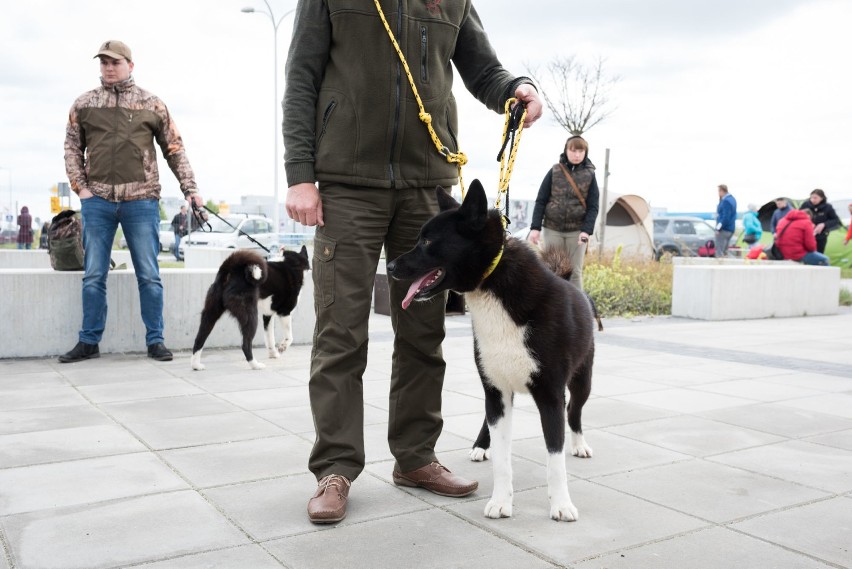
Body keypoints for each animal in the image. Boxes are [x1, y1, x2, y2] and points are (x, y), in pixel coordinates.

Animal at [386, 181, 592, 520]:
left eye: (427, 241)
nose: (389, 266)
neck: (493, 284)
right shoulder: (496, 390)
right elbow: (502, 459)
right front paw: (500, 501)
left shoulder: (550, 394)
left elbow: (555, 459)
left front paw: (562, 504)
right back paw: (481, 445)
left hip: (582, 380)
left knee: (574, 410)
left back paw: (579, 443)